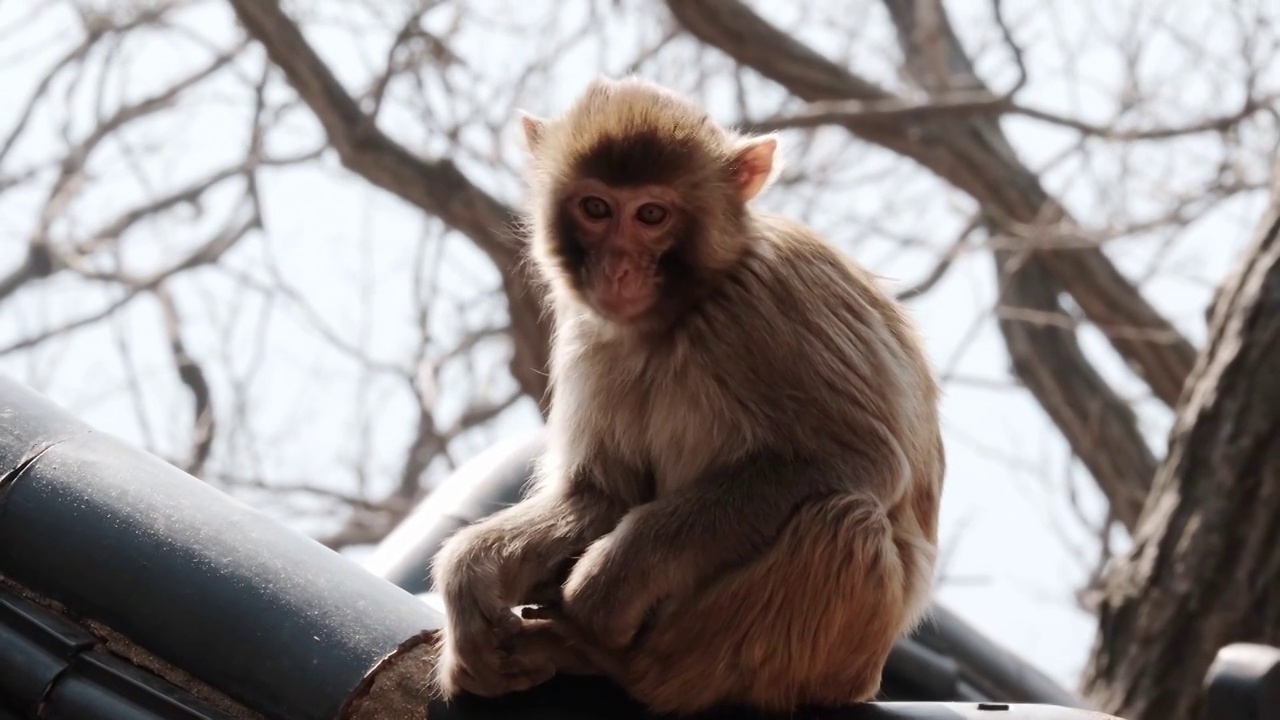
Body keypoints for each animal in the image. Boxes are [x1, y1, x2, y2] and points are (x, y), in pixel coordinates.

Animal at [430, 78, 942, 712]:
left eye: (651, 214)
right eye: (596, 208)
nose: (617, 269)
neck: (679, 314)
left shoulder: (770, 302)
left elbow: (858, 457)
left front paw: (615, 577)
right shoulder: (591, 334)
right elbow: (602, 493)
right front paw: (470, 575)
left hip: (832, 662)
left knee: (845, 523)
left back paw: (620, 664)